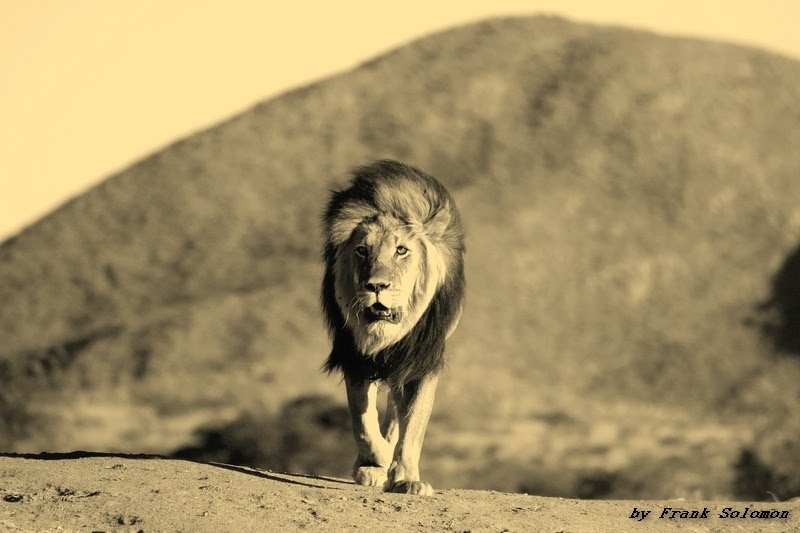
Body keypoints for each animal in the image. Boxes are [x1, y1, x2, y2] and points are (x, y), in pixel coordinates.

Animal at [321, 159, 465, 496]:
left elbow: (414, 425)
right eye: (362, 250)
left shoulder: (423, 362)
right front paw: (377, 462)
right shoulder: (355, 357)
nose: (376, 286)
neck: (387, 334)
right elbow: (361, 421)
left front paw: (407, 479)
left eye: (401, 250)